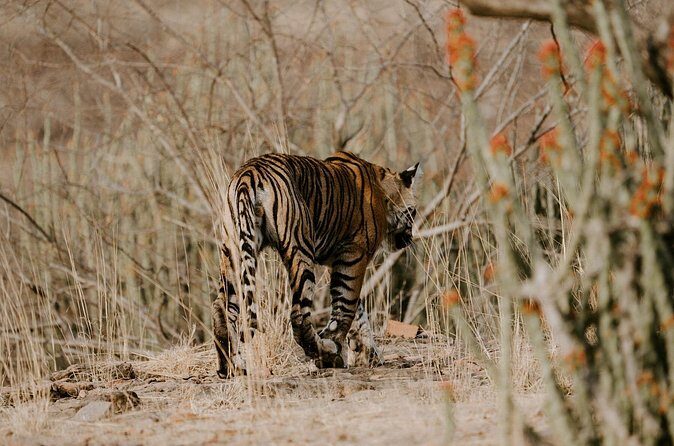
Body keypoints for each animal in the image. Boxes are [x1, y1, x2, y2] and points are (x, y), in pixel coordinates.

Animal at [211, 151, 419, 378]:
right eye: (414, 212)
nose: (412, 237)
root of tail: (249, 173)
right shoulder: (353, 254)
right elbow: (346, 307)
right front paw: (337, 347)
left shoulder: (338, 261)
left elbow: (357, 311)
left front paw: (368, 353)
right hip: (299, 249)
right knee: (298, 316)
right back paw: (326, 353)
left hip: (232, 250)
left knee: (222, 308)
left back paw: (230, 367)